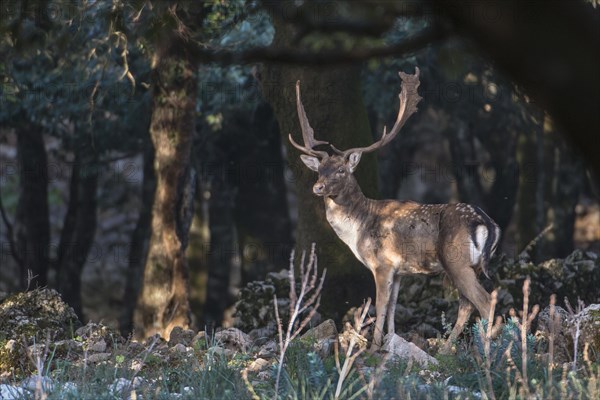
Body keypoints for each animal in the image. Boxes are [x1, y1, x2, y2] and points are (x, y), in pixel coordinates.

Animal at [290, 68, 502, 350]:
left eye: (341, 170)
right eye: (320, 170)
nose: (318, 187)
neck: (358, 228)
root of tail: (488, 223)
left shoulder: (382, 263)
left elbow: (380, 306)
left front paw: (373, 346)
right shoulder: (400, 271)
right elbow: (392, 308)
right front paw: (390, 343)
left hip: (456, 260)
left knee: (485, 302)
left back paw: (487, 351)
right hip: (473, 265)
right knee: (467, 305)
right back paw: (448, 348)